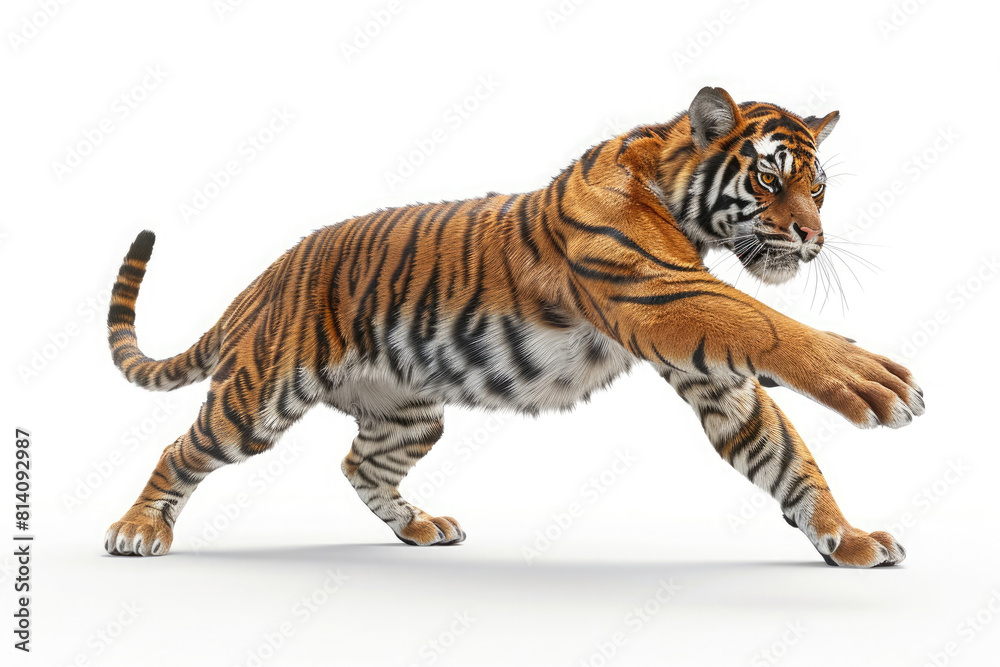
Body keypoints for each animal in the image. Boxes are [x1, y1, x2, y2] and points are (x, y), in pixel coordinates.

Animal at [104, 86, 923, 567]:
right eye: (769, 176)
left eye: (819, 187)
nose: (814, 237)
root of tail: (272, 271)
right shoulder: (665, 295)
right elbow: (768, 323)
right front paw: (872, 379)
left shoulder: (710, 371)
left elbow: (789, 460)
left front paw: (848, 540)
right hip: (259, 397)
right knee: (182, 449)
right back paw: (137, 531)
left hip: (409, 414)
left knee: (358, 465)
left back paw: (419, 526)